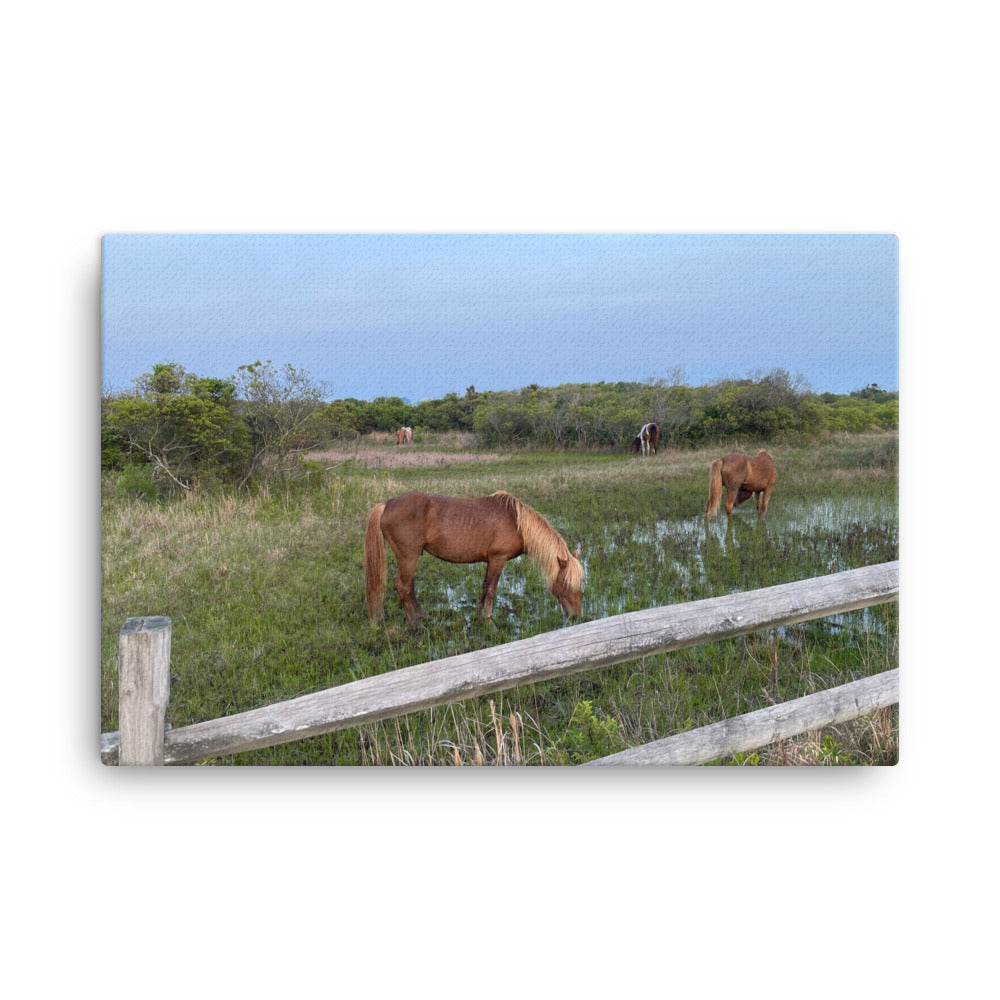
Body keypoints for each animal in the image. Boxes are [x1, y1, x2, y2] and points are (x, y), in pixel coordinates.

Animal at [364, 490, 584, 620]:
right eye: (566, 584)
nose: (575, 616)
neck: (516, 522)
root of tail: (386, 505)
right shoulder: (498, 559)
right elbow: (491, 589)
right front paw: (487, 618)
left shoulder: (491, 562)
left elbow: (485, 587)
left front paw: (479, 613)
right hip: (408, 557)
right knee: (404, 588)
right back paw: (416, 623)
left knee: (409, 588)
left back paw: (423, 617)